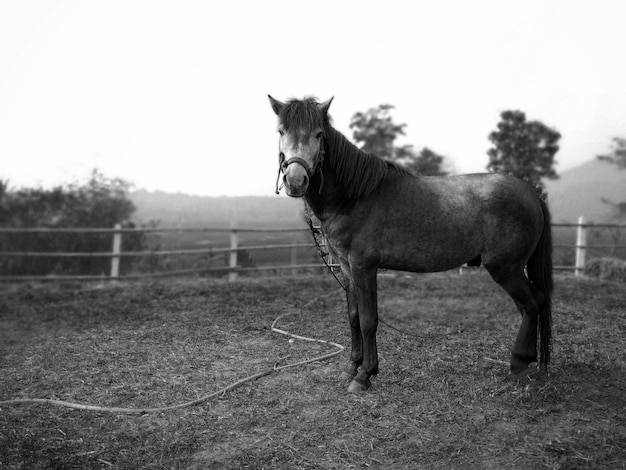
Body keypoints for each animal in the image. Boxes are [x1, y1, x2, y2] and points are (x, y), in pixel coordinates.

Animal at [268, 95, 552, 392]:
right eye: (281, 132)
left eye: (319, 134)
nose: (295, 181)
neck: (354, 197)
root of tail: (531, 192)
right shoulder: (346, 269)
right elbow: (354, 317)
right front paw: (351, 368)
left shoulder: (363, 267)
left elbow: (369, 320)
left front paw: (365, 375)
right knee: (531, 304)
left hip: (505, 268)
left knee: (532, 304)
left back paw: (518, 363)